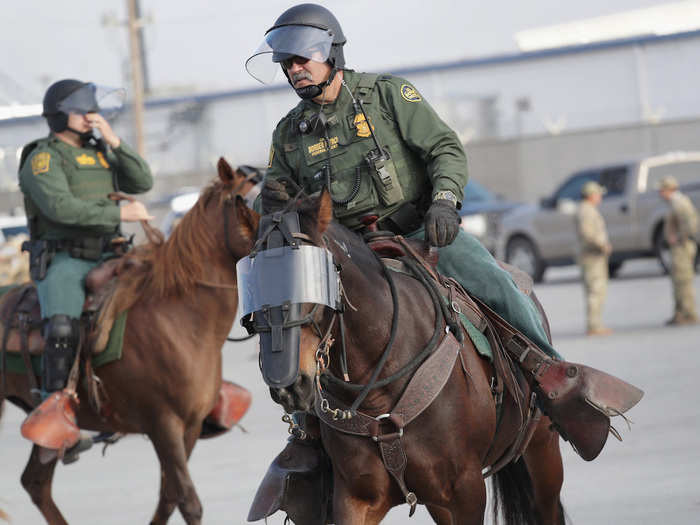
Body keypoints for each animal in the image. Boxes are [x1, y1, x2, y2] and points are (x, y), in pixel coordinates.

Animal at [0, 160, 258, 524]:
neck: (181, 318)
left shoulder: (190, 427)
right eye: (248, 201)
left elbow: (168, 497)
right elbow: (187, 500)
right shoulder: (163, 425)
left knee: (36, 482)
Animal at [238, 190, 568, 520]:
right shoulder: (356, 498)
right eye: (251, 285)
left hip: (543, 456)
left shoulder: (467, 491)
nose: (288, 384)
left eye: (313, 279)